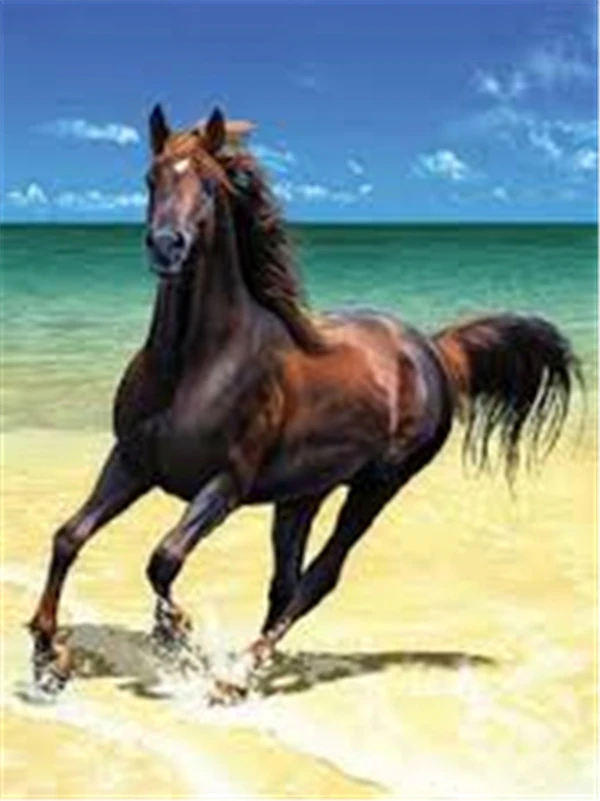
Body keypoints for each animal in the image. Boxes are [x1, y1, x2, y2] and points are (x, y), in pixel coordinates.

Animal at [29, 104, 581, 702]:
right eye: (150, 179)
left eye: (208, 185)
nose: (166, 246)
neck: (192, 367)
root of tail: (432, 349)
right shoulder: (131, 461)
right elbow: (69, 537)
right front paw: (48, 656)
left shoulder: (226, 484)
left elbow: (164, 558)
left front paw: (175, 634)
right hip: (303, 493)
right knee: (285, 582)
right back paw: (246, 667)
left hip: (377, 485)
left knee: (320, 577)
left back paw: (235, 676)